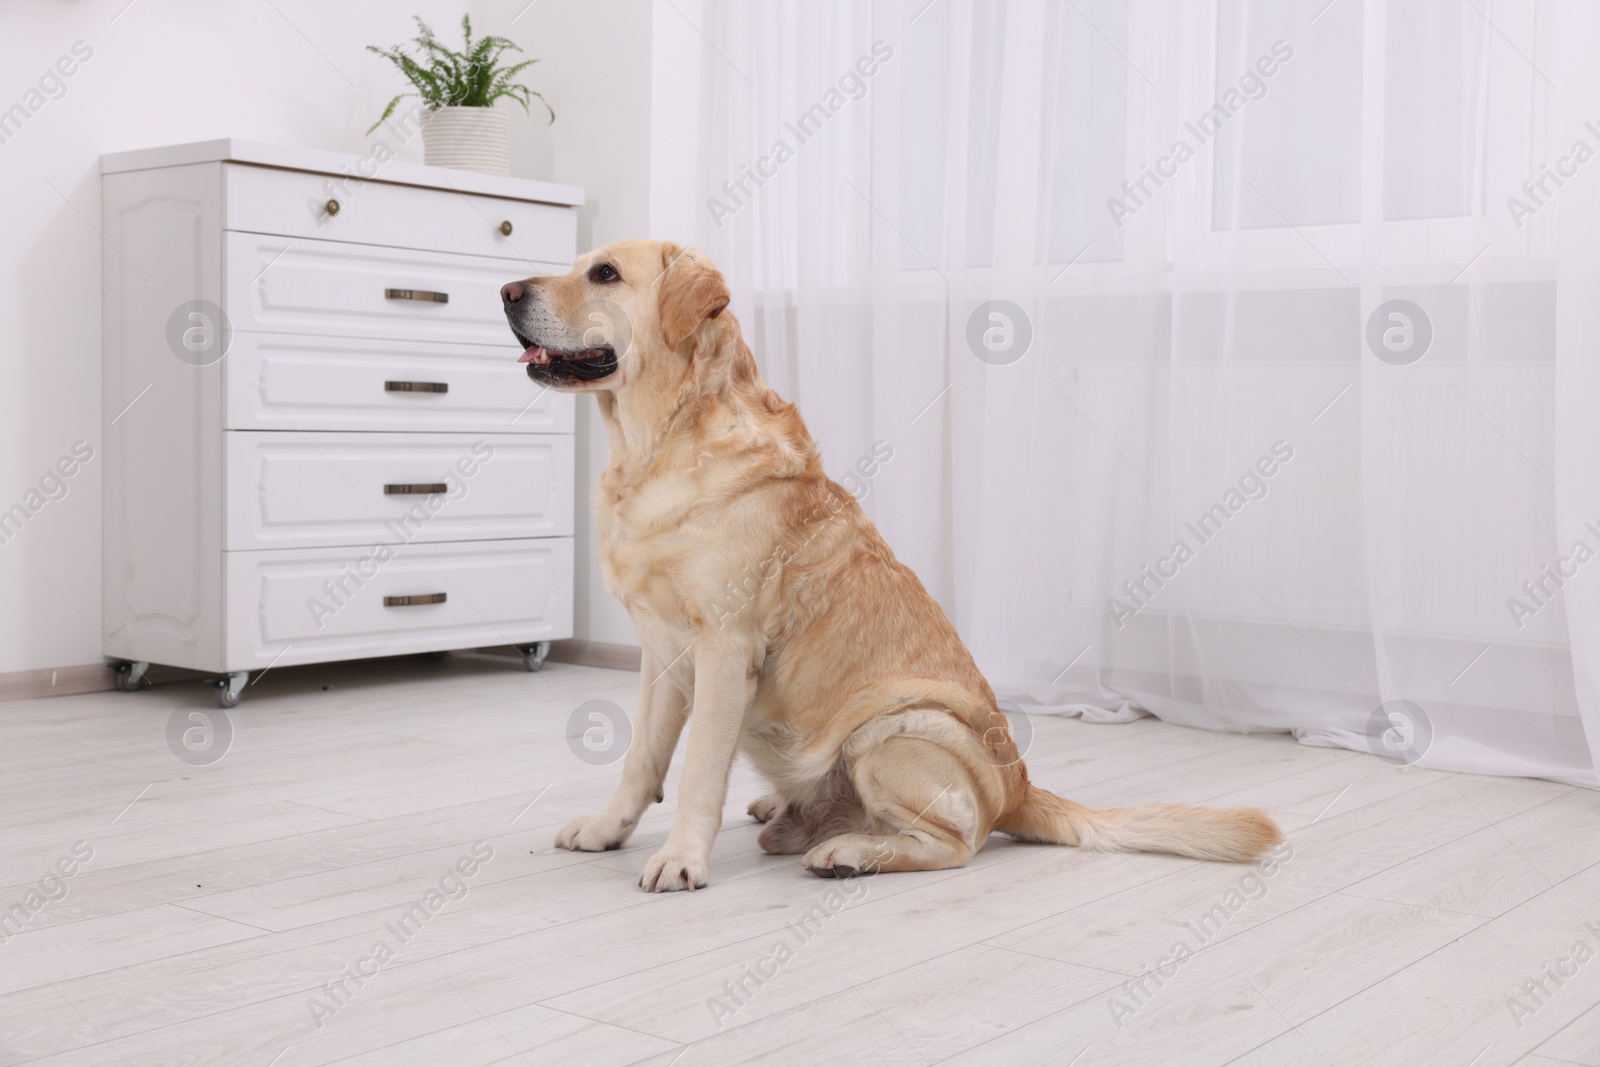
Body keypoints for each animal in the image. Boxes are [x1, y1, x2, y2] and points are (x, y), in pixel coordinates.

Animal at [502, 239, 1286, 895]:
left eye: (605, 274)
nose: (506, 290)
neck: (659, 444)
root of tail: (1019, 787)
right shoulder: (661, 652)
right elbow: (641, 758)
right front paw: (606, 830)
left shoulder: (723, 648)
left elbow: (696, 771)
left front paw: (681, 859)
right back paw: (787, 814)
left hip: (894, 731)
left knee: (957, 844)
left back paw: (847, 851)